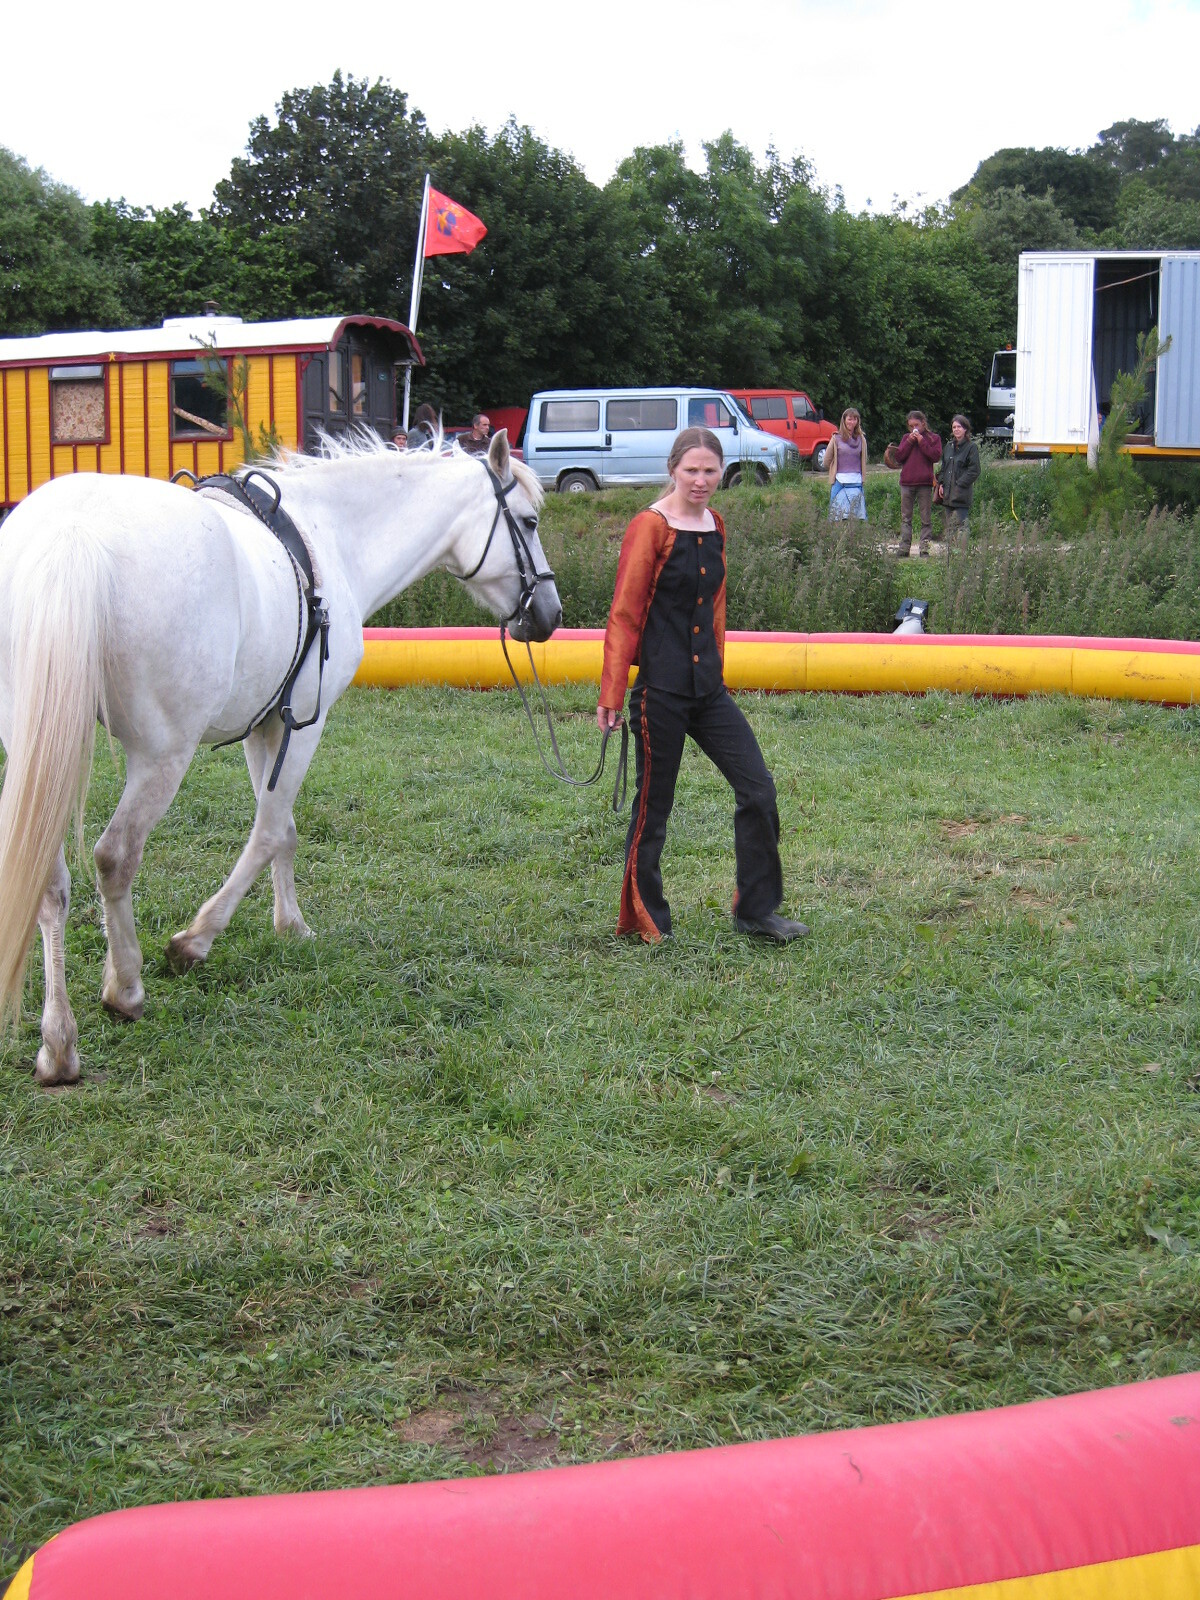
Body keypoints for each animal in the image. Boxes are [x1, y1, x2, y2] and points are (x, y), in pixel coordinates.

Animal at [0, 429, 561, 1085]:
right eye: (527, 520)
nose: (549, 615)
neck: (332, 536)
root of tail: (72, 533)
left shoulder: (264, 725)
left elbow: (282, 830)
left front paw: (289, 925)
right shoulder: (305, 722)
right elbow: (269, 832)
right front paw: (195, 941)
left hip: (40, 751)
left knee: (49, 881)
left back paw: (57, 1044)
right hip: (161, 755)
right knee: (115, 857)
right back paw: (125, 988)